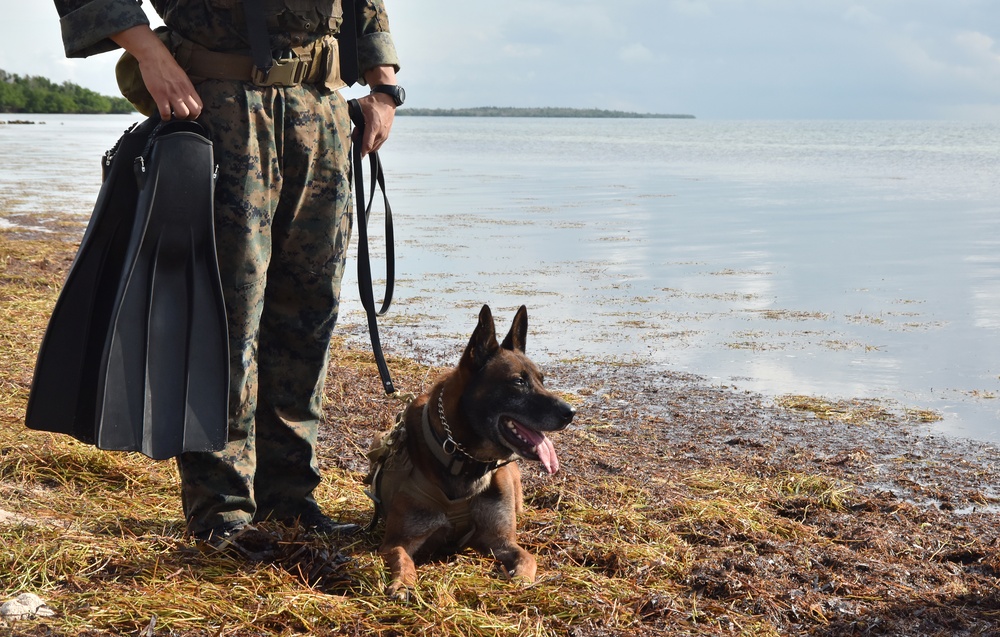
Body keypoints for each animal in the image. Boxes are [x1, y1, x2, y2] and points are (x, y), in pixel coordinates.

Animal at [364, 304, 576, 596]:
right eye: (518, 382)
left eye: (542, 380)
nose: (571, 413)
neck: (463, 460)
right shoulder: (397, 541)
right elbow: (402, 557)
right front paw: (403, 581)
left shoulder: (501, 541)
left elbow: (527, 558)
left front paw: (521, 579)